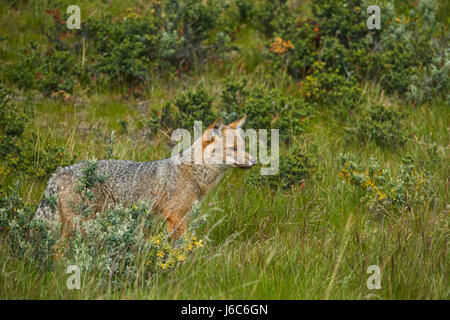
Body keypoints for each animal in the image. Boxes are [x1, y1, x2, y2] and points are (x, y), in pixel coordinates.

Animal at [35, 116, 255, 239]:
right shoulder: (176, 218)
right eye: (233, 149)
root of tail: (61, 172)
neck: (193, 172)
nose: (254, 161)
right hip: (78, 224)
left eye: (244, 147)